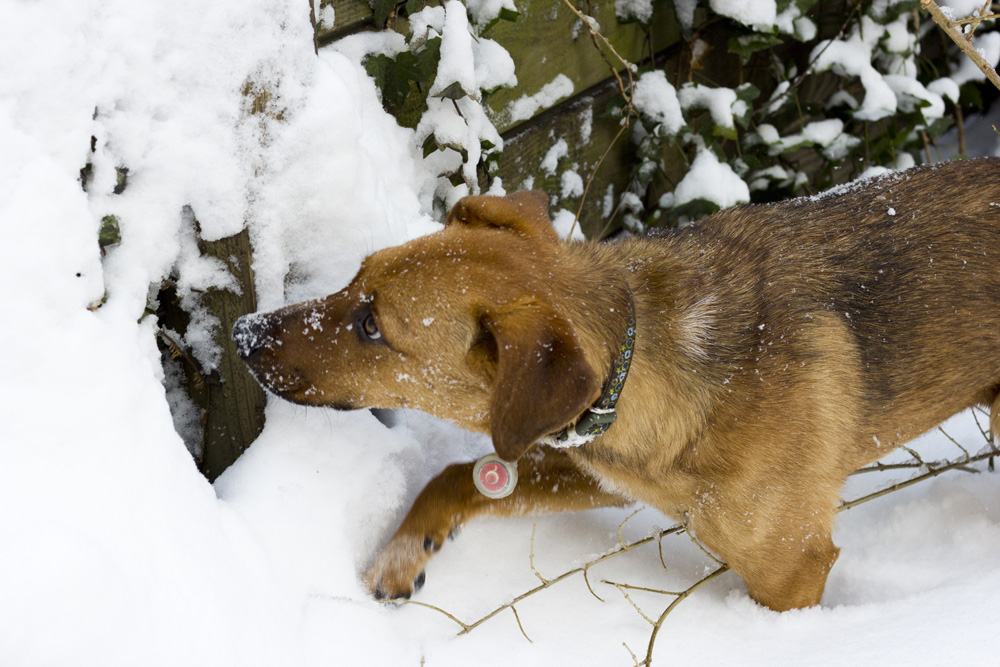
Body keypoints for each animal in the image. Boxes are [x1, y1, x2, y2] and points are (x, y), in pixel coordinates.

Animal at [234, 159, 1000, 612]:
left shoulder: (791, 568)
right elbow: (455, 476)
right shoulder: (601, 467)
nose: (244, 333)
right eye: (353, 277)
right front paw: (404, 553)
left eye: (371, 325)